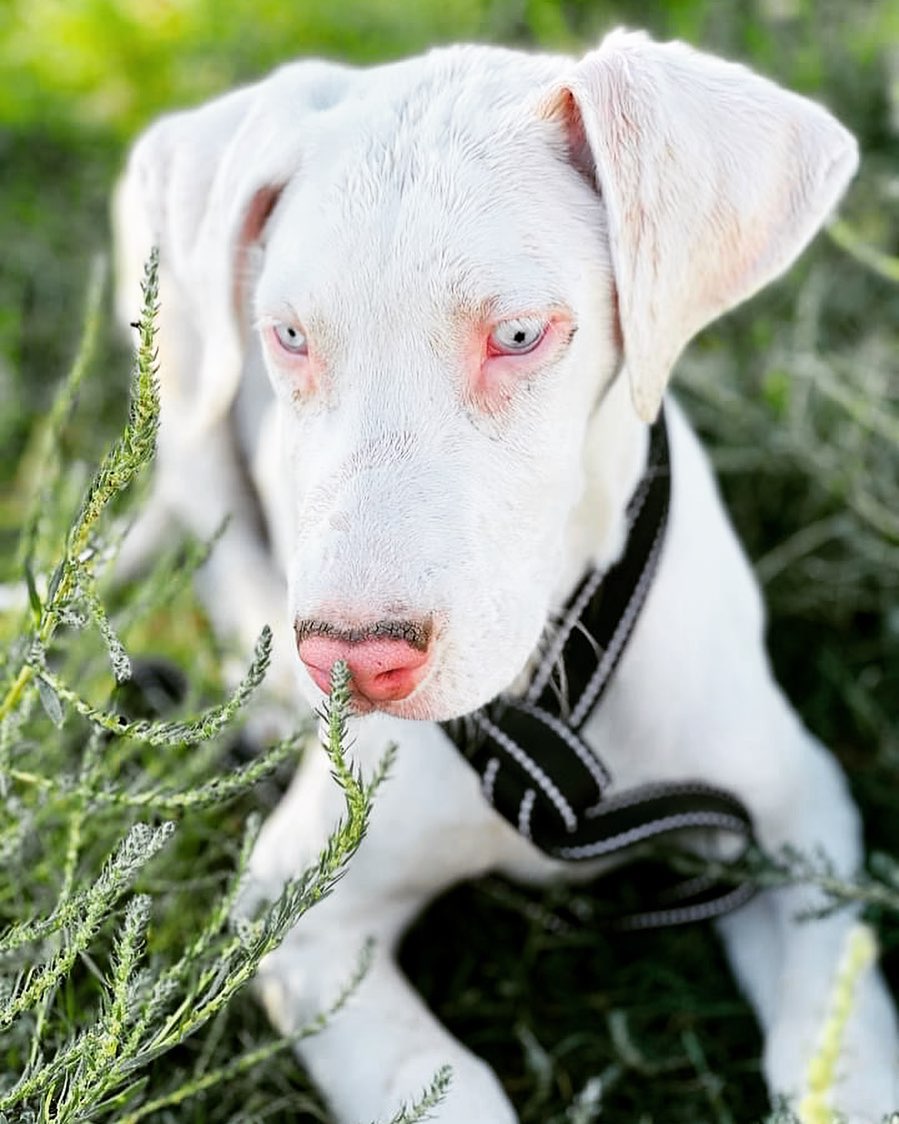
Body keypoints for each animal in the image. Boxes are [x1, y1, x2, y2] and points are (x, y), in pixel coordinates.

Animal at [114, 32, 899, 1124]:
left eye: (520, 334)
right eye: (290, 336)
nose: (348, 665)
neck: (551, 691)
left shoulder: (796, 817)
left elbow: (834, 1028)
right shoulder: (292, 912)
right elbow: (439, 1088)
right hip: (178, 372)